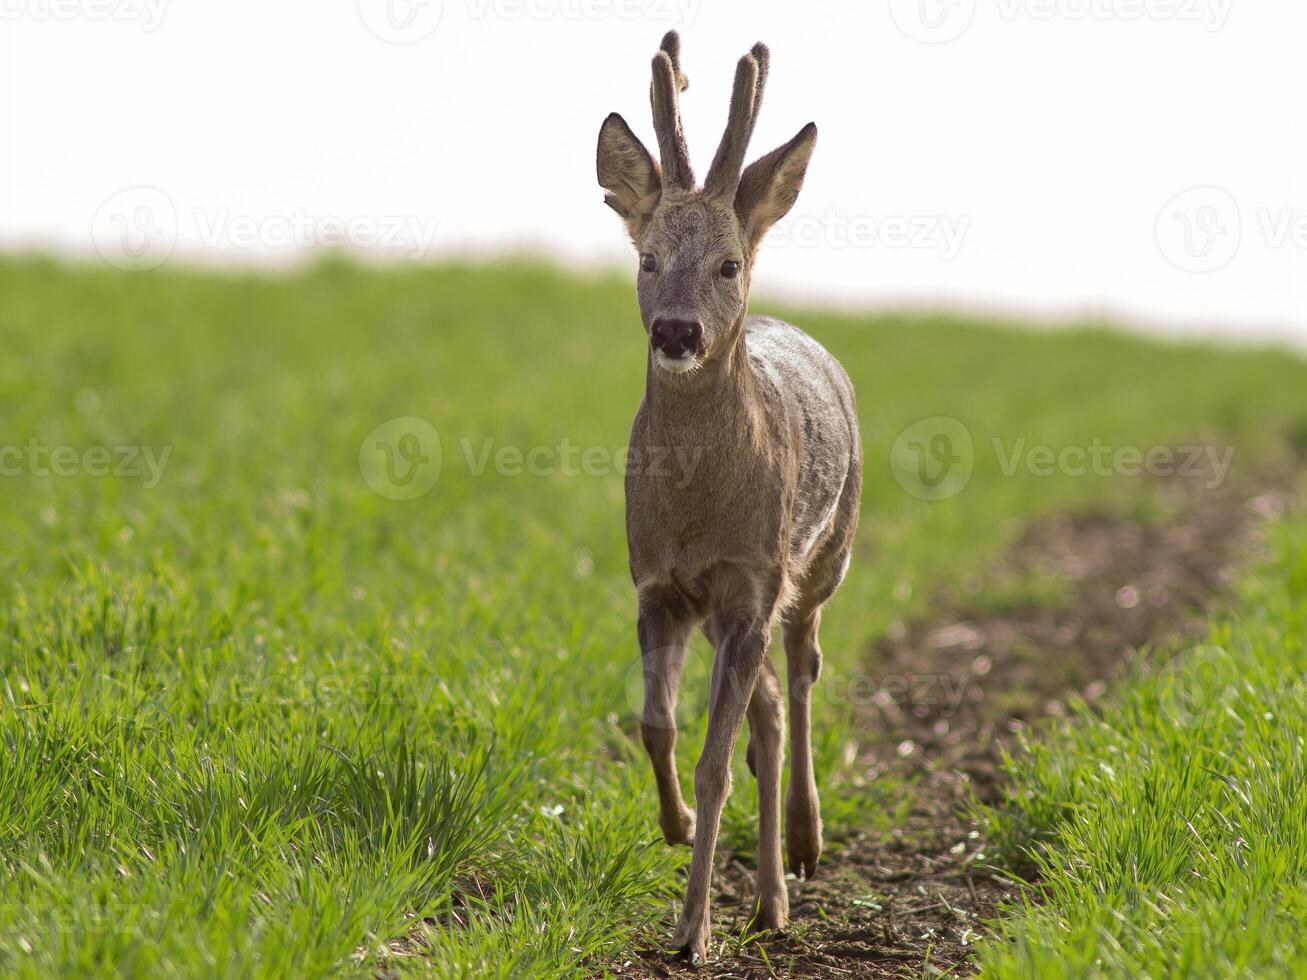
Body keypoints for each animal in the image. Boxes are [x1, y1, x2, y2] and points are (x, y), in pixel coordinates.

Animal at [598, 32, 862, 966]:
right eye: (645, 258)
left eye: (727, 263)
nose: (676, 331)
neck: (697, 511)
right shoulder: (658, 584)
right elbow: (656, 725)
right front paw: (674, 825)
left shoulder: (752, 585)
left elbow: (718, 761)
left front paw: (690, 930)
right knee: (771, 711)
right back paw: (771, 899)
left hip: (821, 559)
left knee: (805, 671)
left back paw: (805, 846)